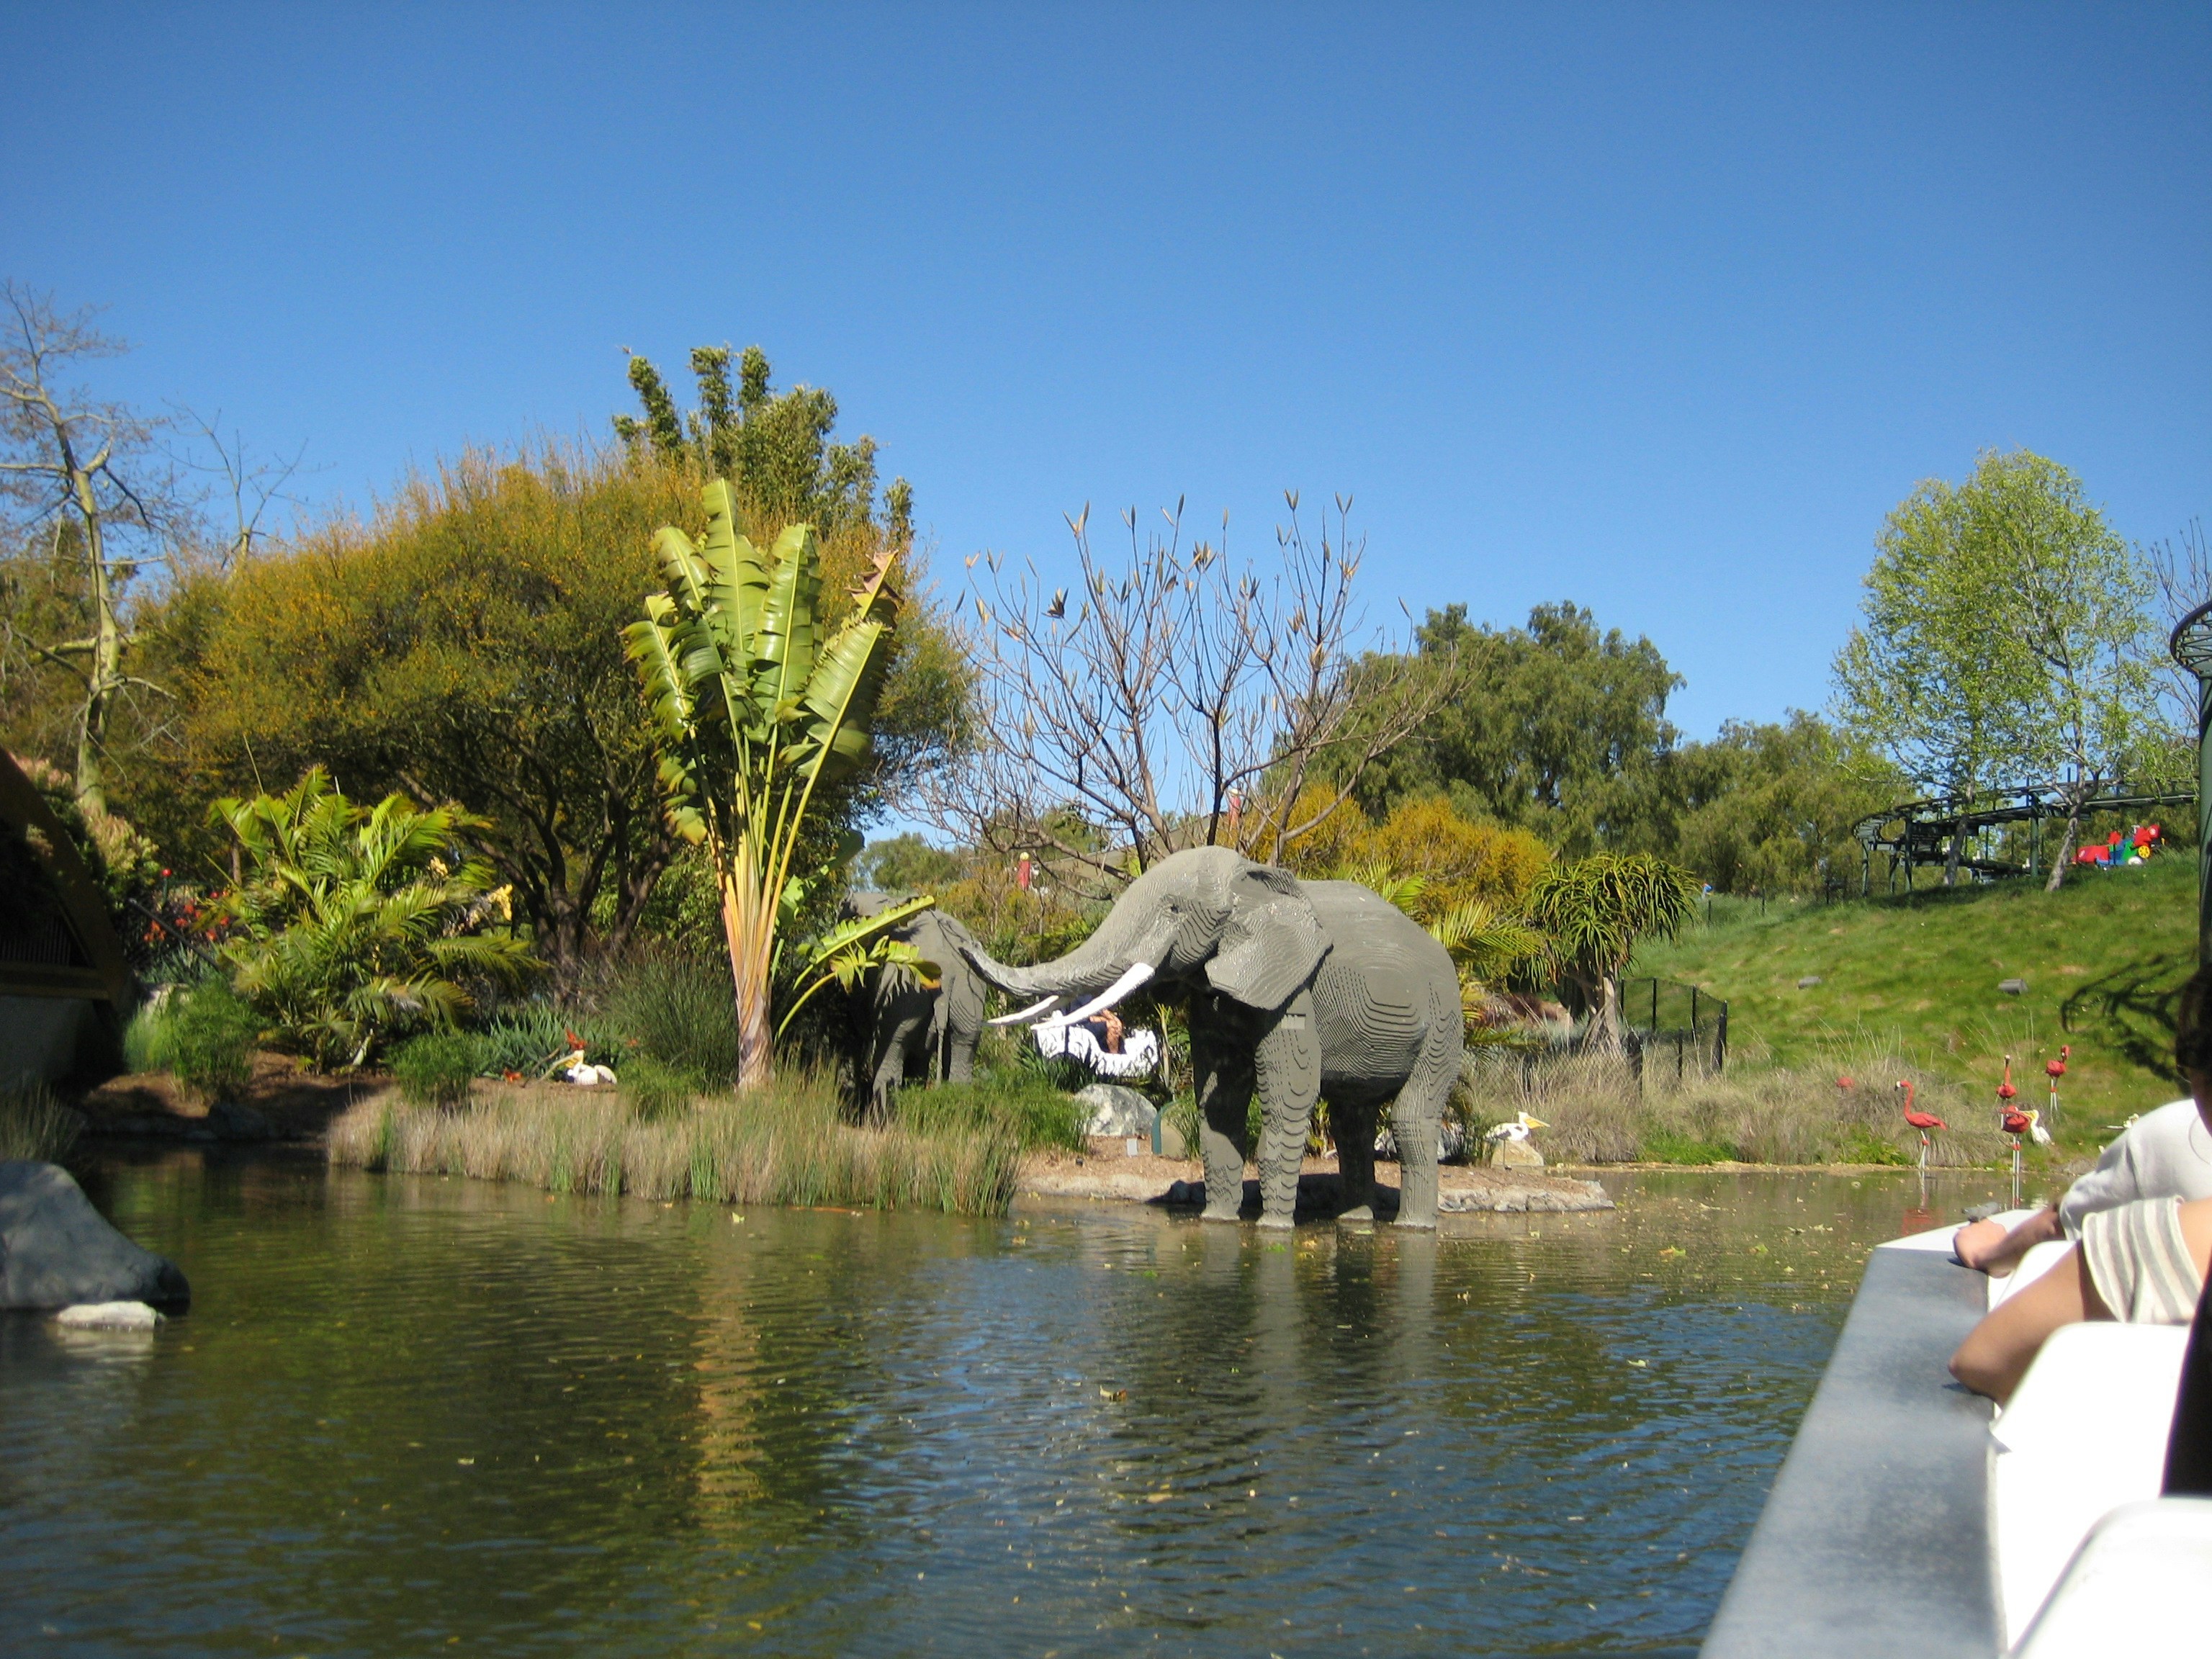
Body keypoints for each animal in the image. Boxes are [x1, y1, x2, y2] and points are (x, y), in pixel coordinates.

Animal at [849, 895, 986, 1121]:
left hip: (905, 991)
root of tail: (947, 972)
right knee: (964, 1043)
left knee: (892, 1043)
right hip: (967, 992)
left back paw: (881, 1120)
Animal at [957, 846, 1463, 1229]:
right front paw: (1216, 1222)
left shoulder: (1291, 986)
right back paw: (1355, 1224)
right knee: (1352, 1122)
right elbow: (1218, 1104)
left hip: (1444, 1019)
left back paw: (1413, 1229)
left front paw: (1271, 1230)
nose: (965, 945)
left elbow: (1290, 1097)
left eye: (1173, 909)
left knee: (1410, 1118)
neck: (1249, 881)